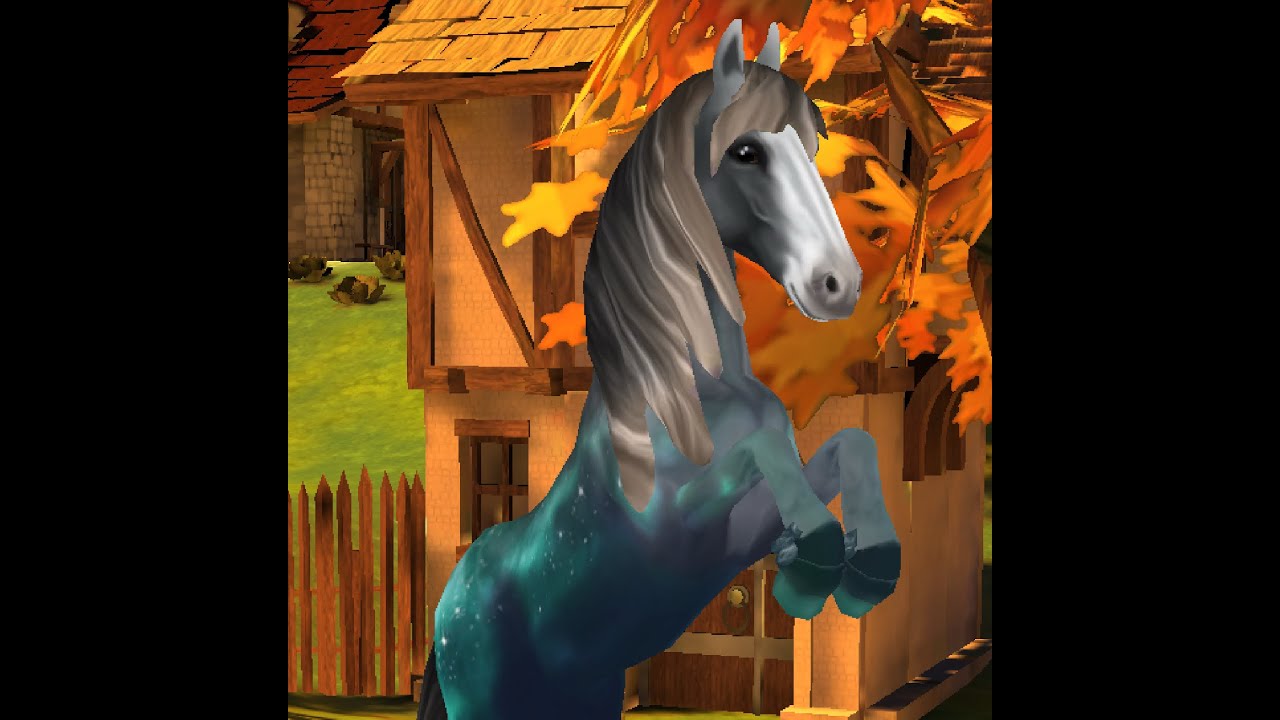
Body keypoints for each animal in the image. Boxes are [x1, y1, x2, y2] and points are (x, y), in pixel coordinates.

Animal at [418, 20, 902, 720]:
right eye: (746, 152)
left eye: (813, 147)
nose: (838, 284)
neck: (688, 390)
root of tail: (445, 610)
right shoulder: (681, 525)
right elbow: (759, 454)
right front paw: (814, 559)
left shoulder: (744, 531)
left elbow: (854, 443)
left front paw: (870, 566)